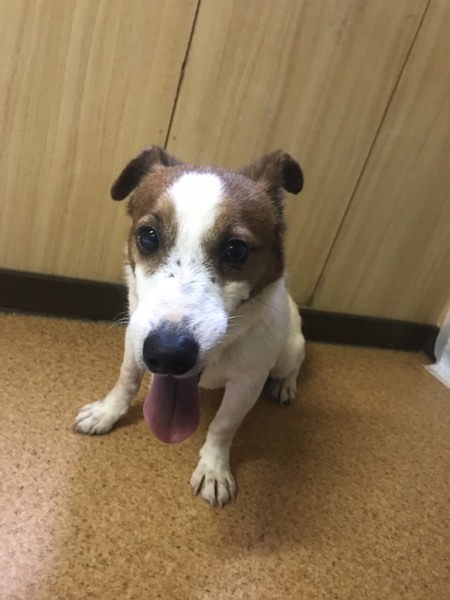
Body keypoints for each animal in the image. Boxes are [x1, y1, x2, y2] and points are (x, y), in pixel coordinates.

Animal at [74, 146, 306, 507]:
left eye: (236, 250)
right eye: (148, 237)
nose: (167, 355)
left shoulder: (248, 382)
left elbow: (223, 426)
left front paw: (213, 467)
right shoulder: (134, 339)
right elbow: (126, 380)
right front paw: (108, 412)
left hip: (288, 351)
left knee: (293, 365)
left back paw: (286, 386)